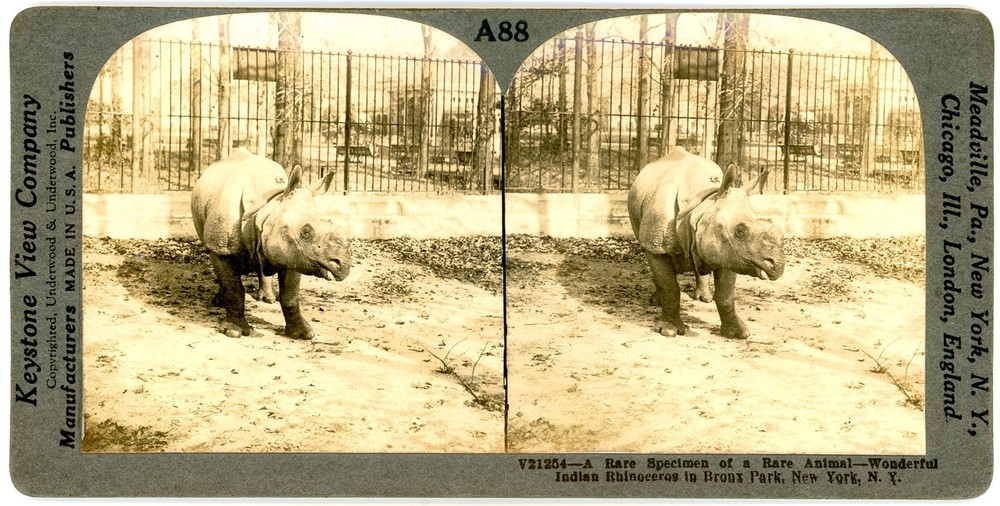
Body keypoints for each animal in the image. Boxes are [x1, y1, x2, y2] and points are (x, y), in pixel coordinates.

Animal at [191, 148, 351, 339]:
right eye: (306, 232)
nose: (342, 266)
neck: (266, 207)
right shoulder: (220, 247)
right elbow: (234, 288)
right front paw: (233, 331)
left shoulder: (295, 254)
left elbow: (290, 295)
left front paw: (302, 334)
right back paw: (219, 301)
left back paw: (267, 299)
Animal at [627, 147, 785, 339]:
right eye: (740, 231)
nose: (777, 265)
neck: (700, 205)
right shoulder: (655, 245)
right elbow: (669, 287)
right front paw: (668, 331)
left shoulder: (731, 254)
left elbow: (726, 294)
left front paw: (737, 333)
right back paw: (656, 301)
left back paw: (704, 298)